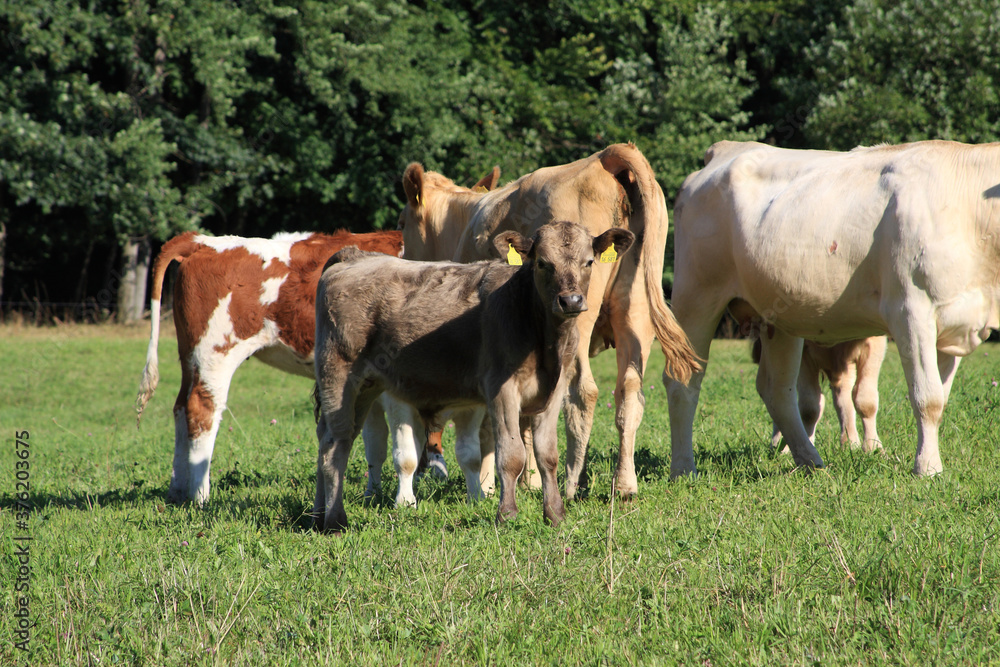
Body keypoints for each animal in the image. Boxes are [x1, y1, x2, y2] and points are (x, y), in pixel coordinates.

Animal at [137, 231, 406, 506]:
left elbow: (376, 444)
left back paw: (177, 492)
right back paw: (200, 497)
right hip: (214, 353)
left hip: (189, 356)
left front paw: (374, 495)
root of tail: (202, 241)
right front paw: (405, 502)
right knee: (201, 410)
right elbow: (404, 448)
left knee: (180, 408)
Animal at [312, 222, 632, 536]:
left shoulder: (553, 391)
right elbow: (511, 456)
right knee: (335, 445)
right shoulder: (502, 389)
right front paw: (507, 515)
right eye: (542, 263)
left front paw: (555, 514)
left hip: (366, 386)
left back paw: (317, 515)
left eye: (588, 262)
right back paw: (335, 521)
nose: (571, 300)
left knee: (330, 439)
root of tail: (356, 256)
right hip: (339, 375)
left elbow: (547, 455)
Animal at [394, 146, 700, 500]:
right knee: (629, 393)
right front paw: (528, 480)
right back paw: (624, 486)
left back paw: (569, 485)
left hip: (577, 316)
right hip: (636, 310)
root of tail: (604, 157)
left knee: (583, 393)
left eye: (402, 222)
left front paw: (490, 485)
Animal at [664, 138, 1000, 478]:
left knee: (778, 390)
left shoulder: (956, 321)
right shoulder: (911, 311)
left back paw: (809, 461)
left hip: (779, 317)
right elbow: (926, 397)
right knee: (683, 382)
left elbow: (940, 399)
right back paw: (683, 468)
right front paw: (927, 468)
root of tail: (725, 149)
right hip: (696, 296)